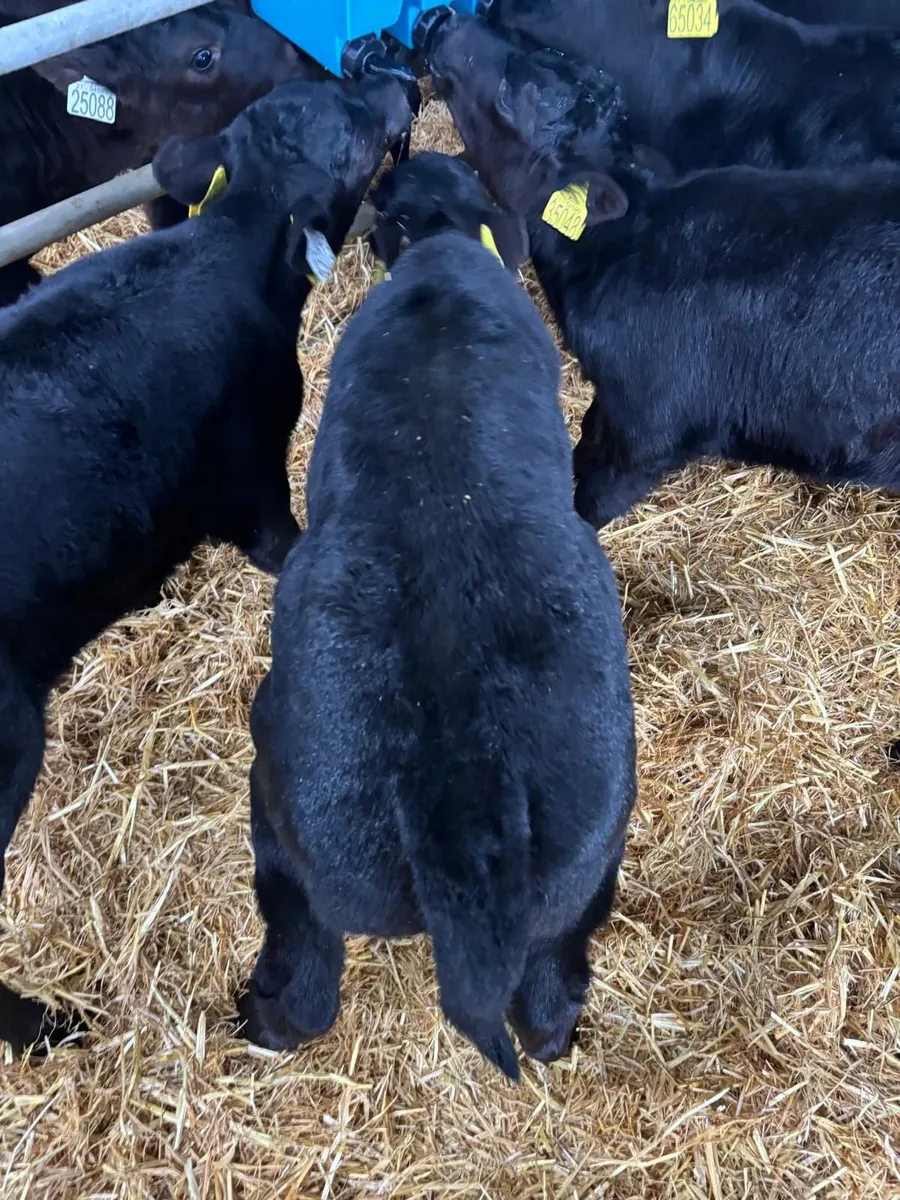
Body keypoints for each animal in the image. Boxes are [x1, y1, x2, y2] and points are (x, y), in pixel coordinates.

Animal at [238, 150, 636, 1079]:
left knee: (308, 976)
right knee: (551, 995)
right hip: (588, 861)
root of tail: (465, 791)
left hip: (297, 832)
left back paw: (261, 1017)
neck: (450, 245)